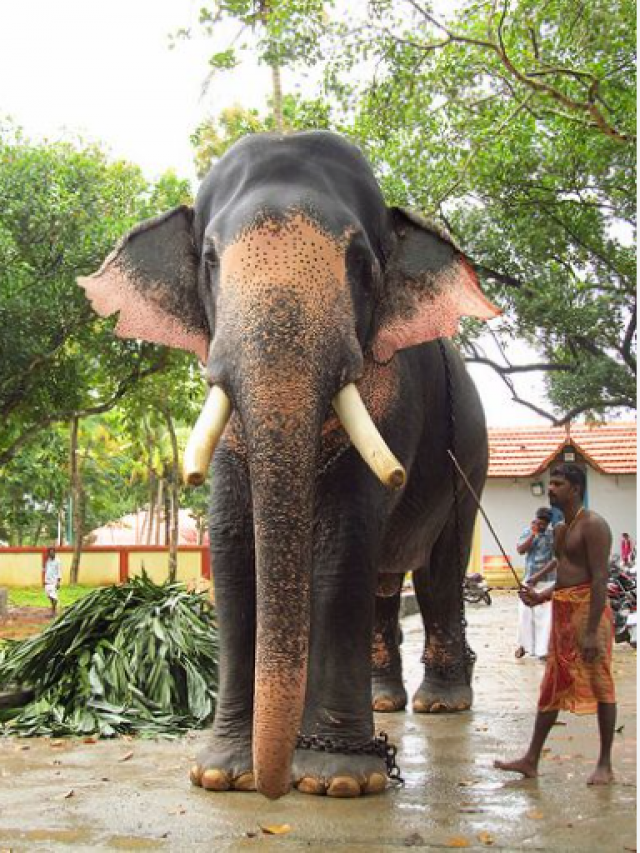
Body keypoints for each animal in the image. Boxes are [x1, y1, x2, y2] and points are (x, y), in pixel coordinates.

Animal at [79, 130, 498, 800]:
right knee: (385, 585)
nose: (274, 788)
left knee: (438, 572)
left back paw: (442, 704)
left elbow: (342, 544)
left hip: (471, 460)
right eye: (210, 260)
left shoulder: (391, 400)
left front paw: (337, 780)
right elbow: (232, 545)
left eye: (361, 265)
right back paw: (385, 704)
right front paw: (223, 773)